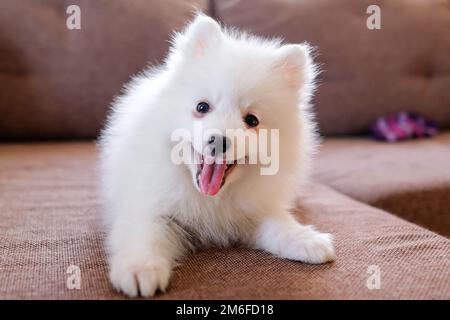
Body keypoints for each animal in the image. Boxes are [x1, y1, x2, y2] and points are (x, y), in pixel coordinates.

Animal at [99, 13, 334, 296]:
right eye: (202, 107)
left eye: (252, 120)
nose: (219, 141)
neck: (211, 200)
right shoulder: (150, 207)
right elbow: (145, 235)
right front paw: (139, 269)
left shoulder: (254, 210)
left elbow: (278, 223)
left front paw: (306, 239)